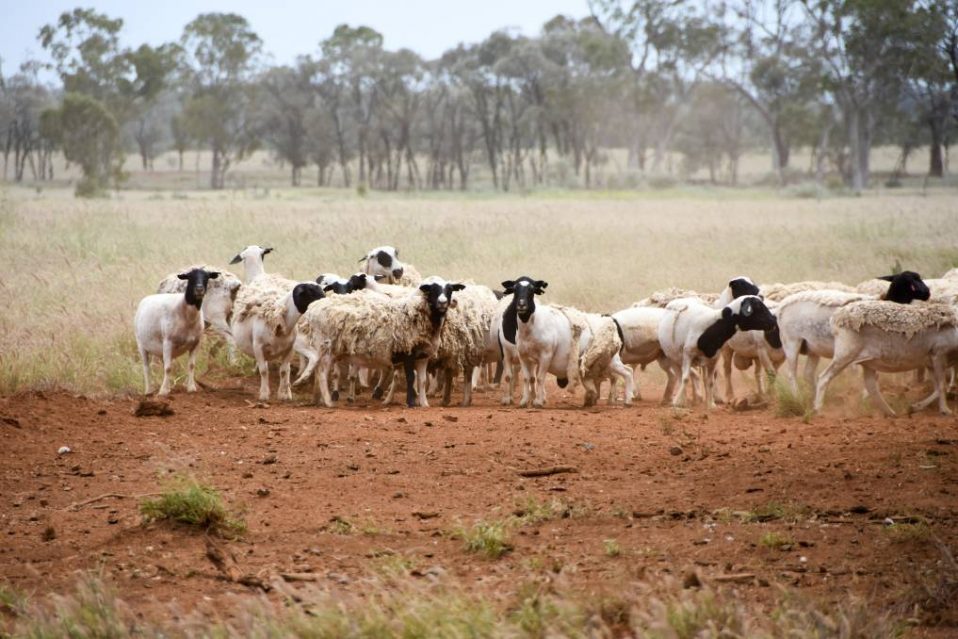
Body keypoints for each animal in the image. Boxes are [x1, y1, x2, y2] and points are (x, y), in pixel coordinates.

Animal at [134, 268, 220, 396]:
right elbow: (168, 368)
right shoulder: (168, 341)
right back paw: (149, 390)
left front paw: (191, 388)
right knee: (146, 367)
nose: (199, 289)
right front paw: (163, 392)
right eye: (190, 277)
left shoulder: (196, 342)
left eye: (206, 277)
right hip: (141, 345)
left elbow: (191, 365)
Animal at [302, 279, 465, 408]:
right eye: (433, 290)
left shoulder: (422, 356)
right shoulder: (408, 352)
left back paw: (320, 400)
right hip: (325, 347)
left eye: (450, 290)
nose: (442, 303)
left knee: (319, 372)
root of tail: (313, 308)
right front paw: (411, 403)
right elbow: (411, 379)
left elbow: (422, 381)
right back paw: (328, 402)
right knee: (322, 373)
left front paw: (424, 404)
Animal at [778, 272, 931, 393]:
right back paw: (798, 398)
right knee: (792, 375)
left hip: (812, 347)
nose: (928, 293)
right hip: (791, 342)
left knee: (808, 374)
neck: (884, 301)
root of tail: (782, 307)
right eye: (910, 283)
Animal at [814, 301, 958, 415]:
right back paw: (818, 409)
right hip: (845, 354)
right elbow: (941, 386)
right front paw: (945, 410)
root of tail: (836, 317)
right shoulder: (939, 355)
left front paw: (915, 407)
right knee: (824, 378)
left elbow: (937, 388)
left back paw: (890, 413)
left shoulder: (930, 362)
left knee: (871, 386)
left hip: (867, 362)